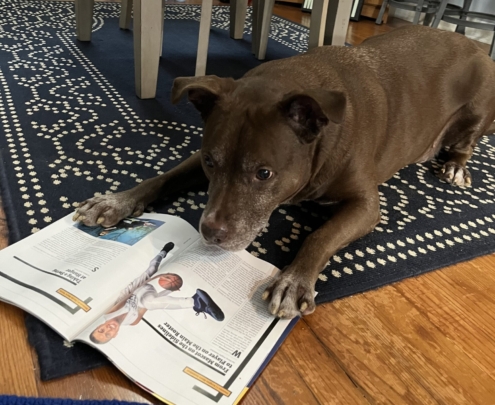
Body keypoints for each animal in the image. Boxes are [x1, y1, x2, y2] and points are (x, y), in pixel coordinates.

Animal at [73, 26, 495, 320]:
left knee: (467, 141)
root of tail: (474, 44)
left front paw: (293, 280)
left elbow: (320, 235)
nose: (210, 232)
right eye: (211, 162)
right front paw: (115, 201)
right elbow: (162, 177)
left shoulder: (365, 204)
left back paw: (455, 166)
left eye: (264, 173)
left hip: (479, 106)